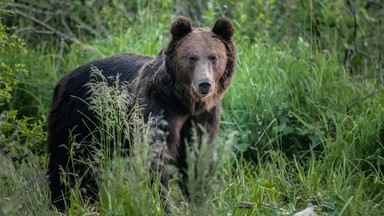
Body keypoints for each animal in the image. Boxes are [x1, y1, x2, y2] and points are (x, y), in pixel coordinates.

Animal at [46, 16, 236, 212]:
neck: (185, 103)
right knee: (65, 159)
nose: (204, 84)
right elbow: (154, 154)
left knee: (91, 166)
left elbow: (196, 153)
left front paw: (199, 198)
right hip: (79, 118)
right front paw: (162, 204)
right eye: (192, 57)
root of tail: (63, 80)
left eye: (214, 57)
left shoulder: (203, 116)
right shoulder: (158, 107)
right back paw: (61, 202)